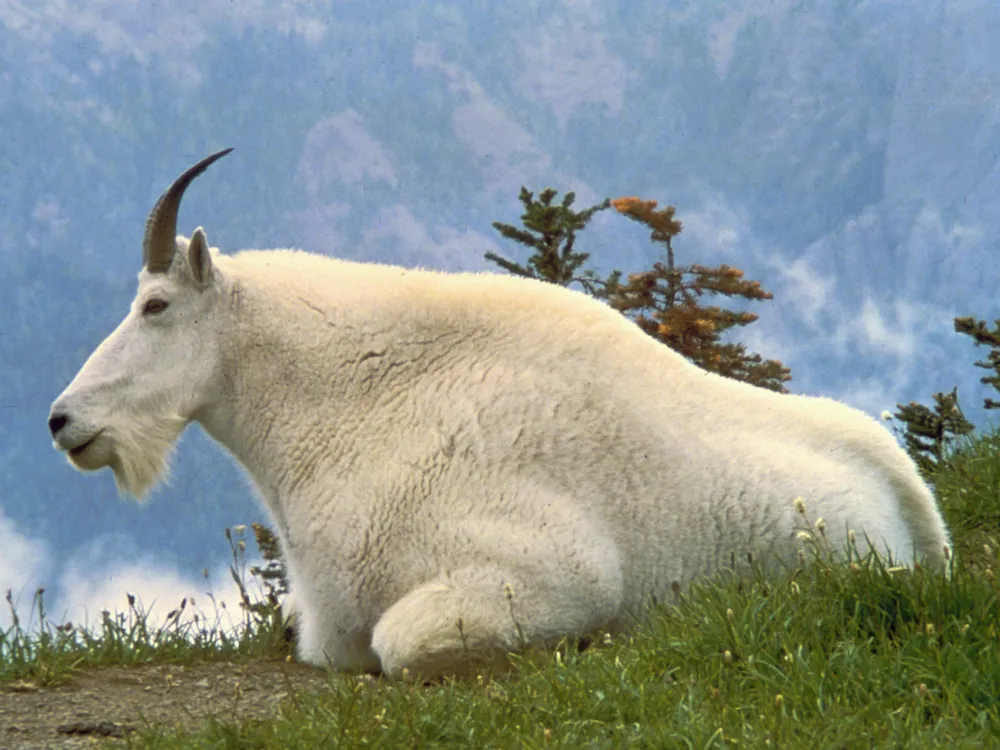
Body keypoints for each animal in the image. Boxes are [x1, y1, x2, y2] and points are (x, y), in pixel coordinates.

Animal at [48, 150, 952, 680]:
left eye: (156, 305)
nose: (63, 420)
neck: (354, 403)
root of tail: (913, 500)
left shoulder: (551, 571)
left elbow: (398, 646)